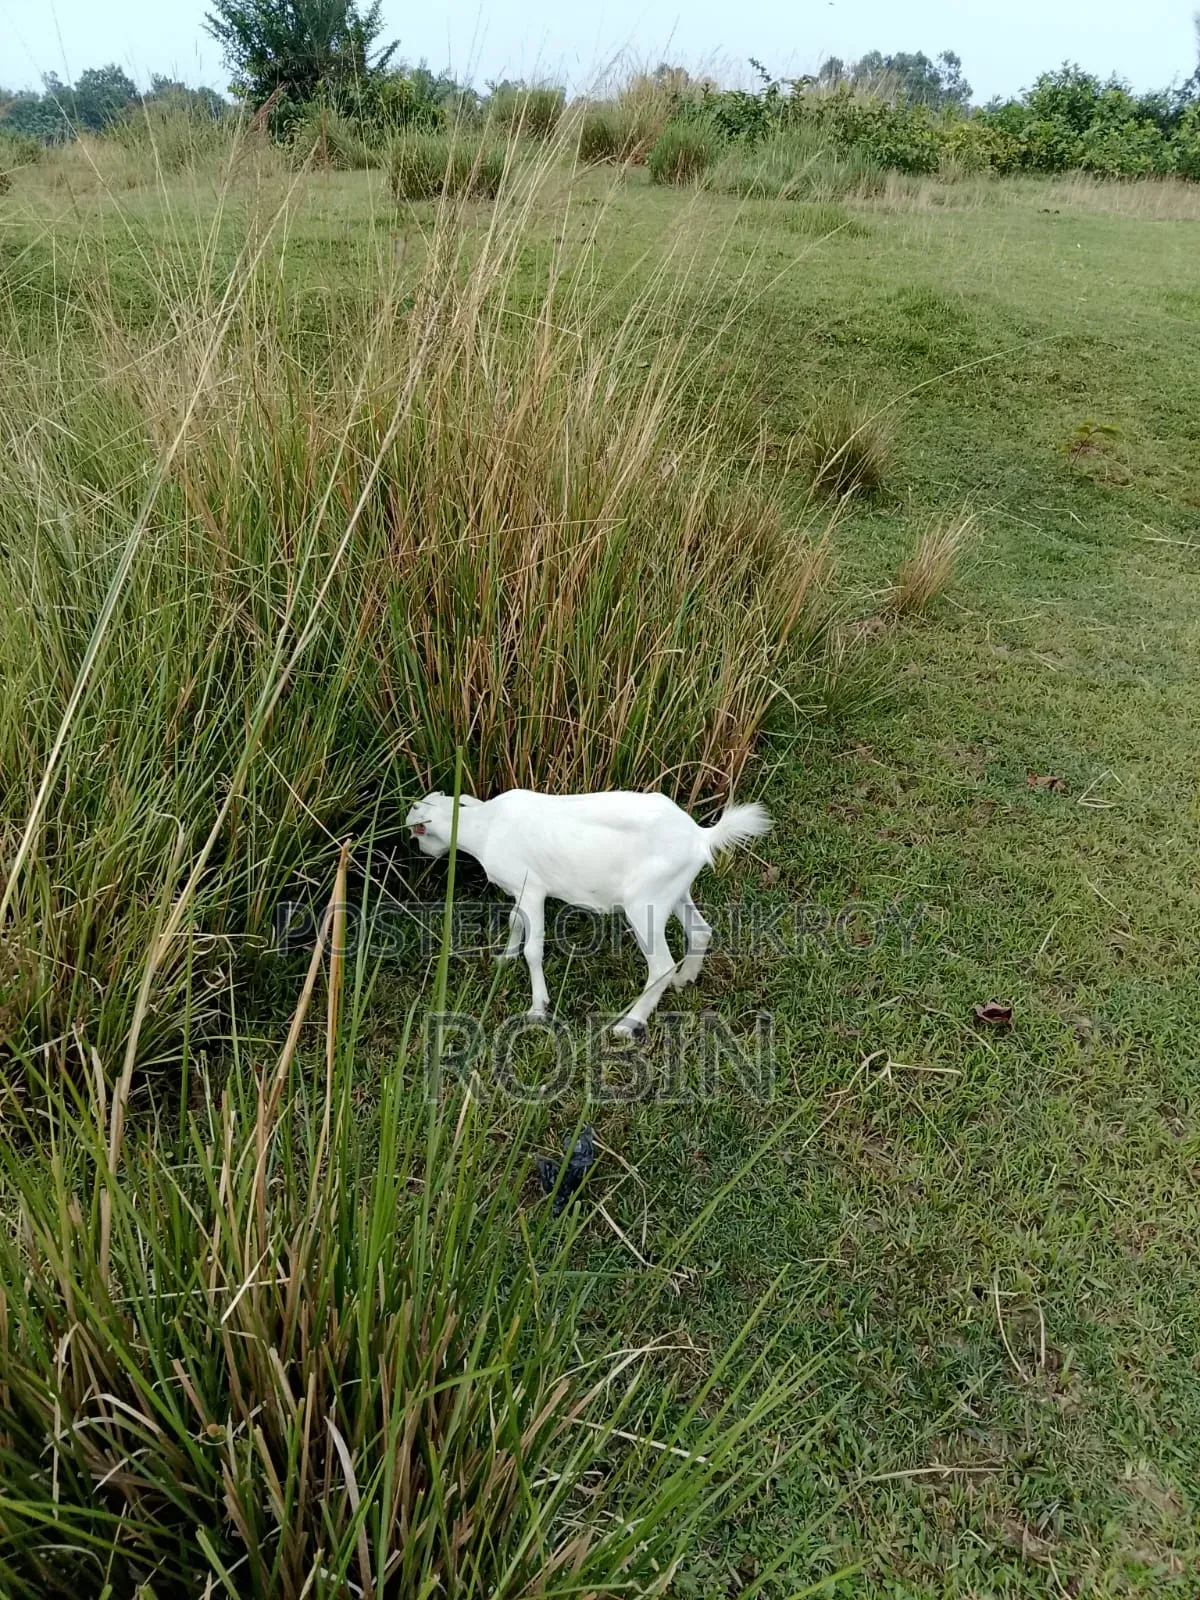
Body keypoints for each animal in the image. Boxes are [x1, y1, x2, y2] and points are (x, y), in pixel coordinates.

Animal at [405, 788, 771, 1037]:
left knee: (661, 965)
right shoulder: (519, 890)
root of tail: (700, 836)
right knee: (700, 931)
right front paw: (504, 957)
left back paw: (627, 1024)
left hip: (644, 902)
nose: (422, 849)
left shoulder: (531, 888)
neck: (484, 825)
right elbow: (514, 921)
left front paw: (537, 1008)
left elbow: (533, 949)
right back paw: (685, 978)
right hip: (675, 889)